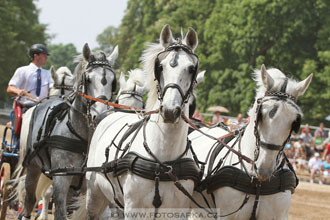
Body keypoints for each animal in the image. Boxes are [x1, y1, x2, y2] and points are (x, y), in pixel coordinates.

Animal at [15, 43, 118, 220]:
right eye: (88, 79)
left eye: (113, 82)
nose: (102, 115)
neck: (86, 140)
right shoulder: (61, 180)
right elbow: (60, 212)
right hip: (33, 166)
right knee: (29, 199)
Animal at [72, 24, 201, 220]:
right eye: (160, 67)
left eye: (191, 68)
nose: (170, 111)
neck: (163, 162)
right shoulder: (133, 209)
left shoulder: (178, 211)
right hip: (95, 196)